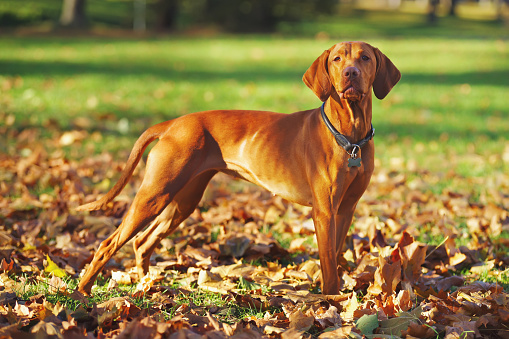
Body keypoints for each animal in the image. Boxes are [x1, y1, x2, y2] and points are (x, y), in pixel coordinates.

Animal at [76, 41, 400, 294]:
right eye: (337, 59)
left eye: (365, 58)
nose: (350, 73)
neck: (350, 137)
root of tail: (173, 124)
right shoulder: (324, 211)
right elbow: (329, 265)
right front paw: (330, 303)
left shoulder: (346, 208)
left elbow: (336, 254)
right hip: (155, 193)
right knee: (109, 243)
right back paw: (83, 290)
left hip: (183, 199)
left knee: (143, 242)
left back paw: (147, 284)